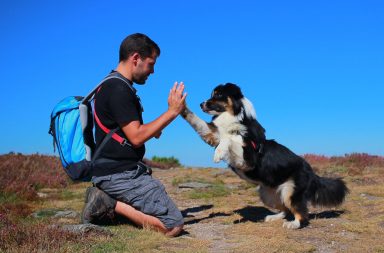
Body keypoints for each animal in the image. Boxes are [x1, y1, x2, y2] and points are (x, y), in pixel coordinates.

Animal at [182, 83, 350, 229]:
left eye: (218, 95)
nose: (201, 104)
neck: (235, 117)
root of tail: (311, 172)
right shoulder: (213, 134)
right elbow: (196, 121)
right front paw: (181, 105)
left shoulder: (248, 158)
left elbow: (229, 139)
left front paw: (219, 153)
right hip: (268, 194)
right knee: (285, 209)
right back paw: (274, 217)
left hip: (290, 191)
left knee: (301, 213)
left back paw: (293, 224)